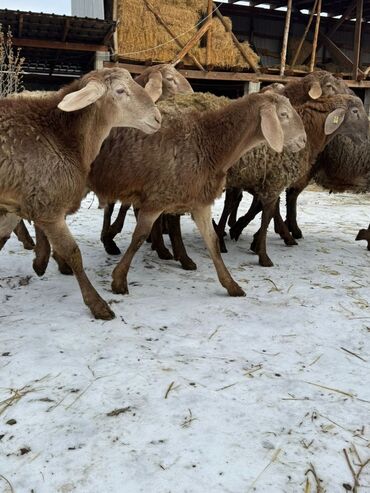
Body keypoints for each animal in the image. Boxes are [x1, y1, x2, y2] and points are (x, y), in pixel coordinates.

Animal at [0, 66, 162, 320]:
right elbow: (73, 252)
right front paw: (98, 305)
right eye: (120, 90)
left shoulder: (16, 204)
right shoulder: (49, 208)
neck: (62, 137)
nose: (157, 118)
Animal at [86, 89, 306, 296]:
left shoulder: (200, 202)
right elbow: (138, 238)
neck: (210, 143)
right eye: (284, 114)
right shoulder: (158, 199)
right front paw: (119, 280)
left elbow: (213, 242)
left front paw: (232, 286)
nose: (304, 140)